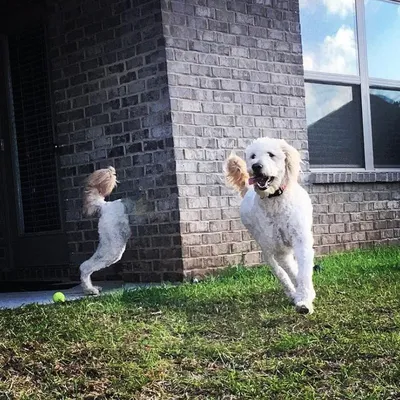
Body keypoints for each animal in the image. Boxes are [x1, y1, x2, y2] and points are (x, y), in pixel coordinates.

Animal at [225, 139, 316, 314]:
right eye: (253, 156)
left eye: (271, 154)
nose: (256, 166)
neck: (275, 200)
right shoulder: (279, 249)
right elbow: (292, 271)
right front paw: (300, 296)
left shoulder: (301, 241)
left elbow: (303, 272)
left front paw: (305, 299)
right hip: (266, 248)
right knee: (280, 273)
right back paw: (291, 293)